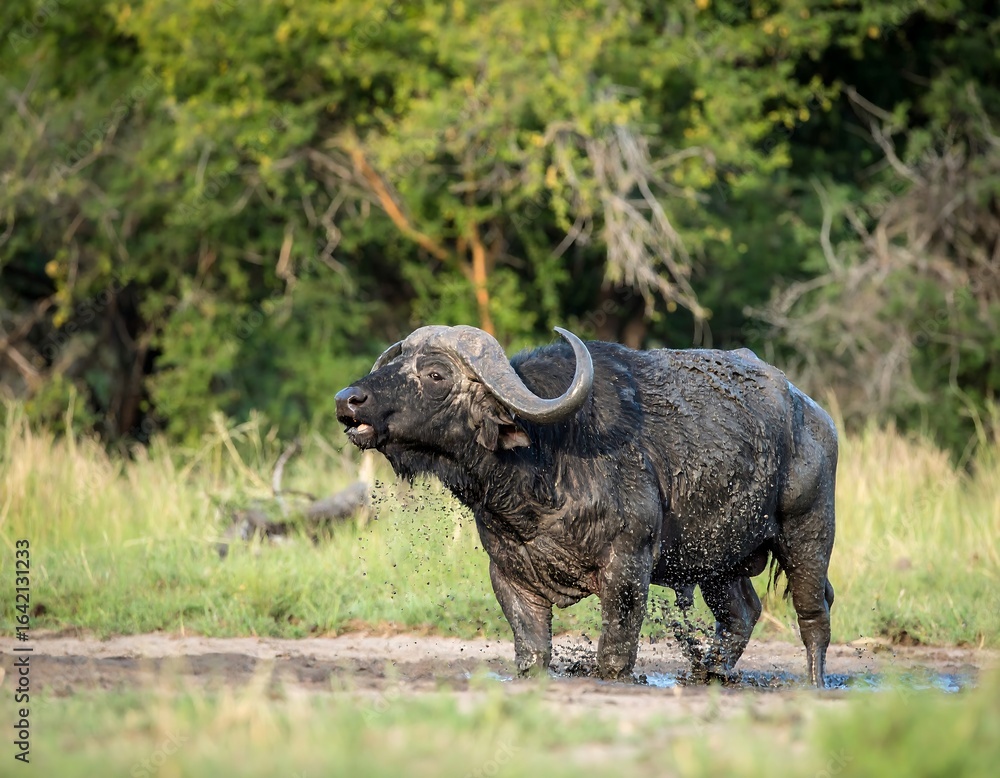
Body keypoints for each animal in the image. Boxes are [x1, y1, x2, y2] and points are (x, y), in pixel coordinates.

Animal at [336, 325, 837, 686]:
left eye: (436, 374)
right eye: (399, 362)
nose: (348, 399)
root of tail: (814, 414)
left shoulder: (627, 567)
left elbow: (614, 654)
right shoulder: (510, 576)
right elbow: (532, 653)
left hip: (809, 534)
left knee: (814, 613)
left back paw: (813, 682)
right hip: (717, 560)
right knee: (741, 613)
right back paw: (710, 673)